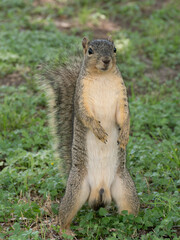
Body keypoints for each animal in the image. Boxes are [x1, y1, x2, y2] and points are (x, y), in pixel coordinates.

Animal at [40, 36, 140, 232]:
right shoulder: (81, 98)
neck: (102, 78)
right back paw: (66, 231)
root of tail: (100, 190)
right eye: (90, 51)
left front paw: (125, 134)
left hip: (125, 189)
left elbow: (124, 116)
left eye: (115, 49)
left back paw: (131, 226)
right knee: (64, 216)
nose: (106, 60)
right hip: (76, 190)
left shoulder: (121, 96)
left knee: (130, 211)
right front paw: (98, 130)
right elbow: (85, 116)